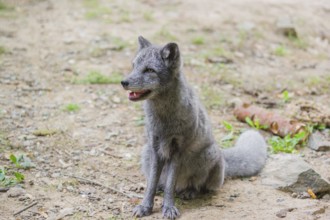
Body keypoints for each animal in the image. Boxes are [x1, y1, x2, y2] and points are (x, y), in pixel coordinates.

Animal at [121, 36, 268, 218]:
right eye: (133, 66)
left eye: (149, 70)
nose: (123, 82)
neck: (164, 119)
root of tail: (223, 158)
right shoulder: (156, 149)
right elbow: (152, 184)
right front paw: (145, 206)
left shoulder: (177, 150)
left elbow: (170, 184)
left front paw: (168, 207)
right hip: (146, 152)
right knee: (159, 182)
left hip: (208, 155)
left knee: (199, 186)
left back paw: (190, 191)